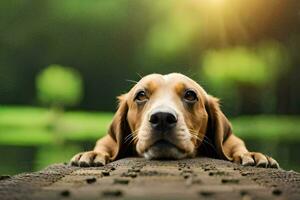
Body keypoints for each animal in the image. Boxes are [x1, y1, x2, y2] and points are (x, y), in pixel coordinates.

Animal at [70, 72, 278, 168]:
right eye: (141, 95)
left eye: (190, 95)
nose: (162, 117)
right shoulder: (108, 140)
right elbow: (103, 146)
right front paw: (93, 154)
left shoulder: (233, 140)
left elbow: (237, 146)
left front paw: (251, 154)